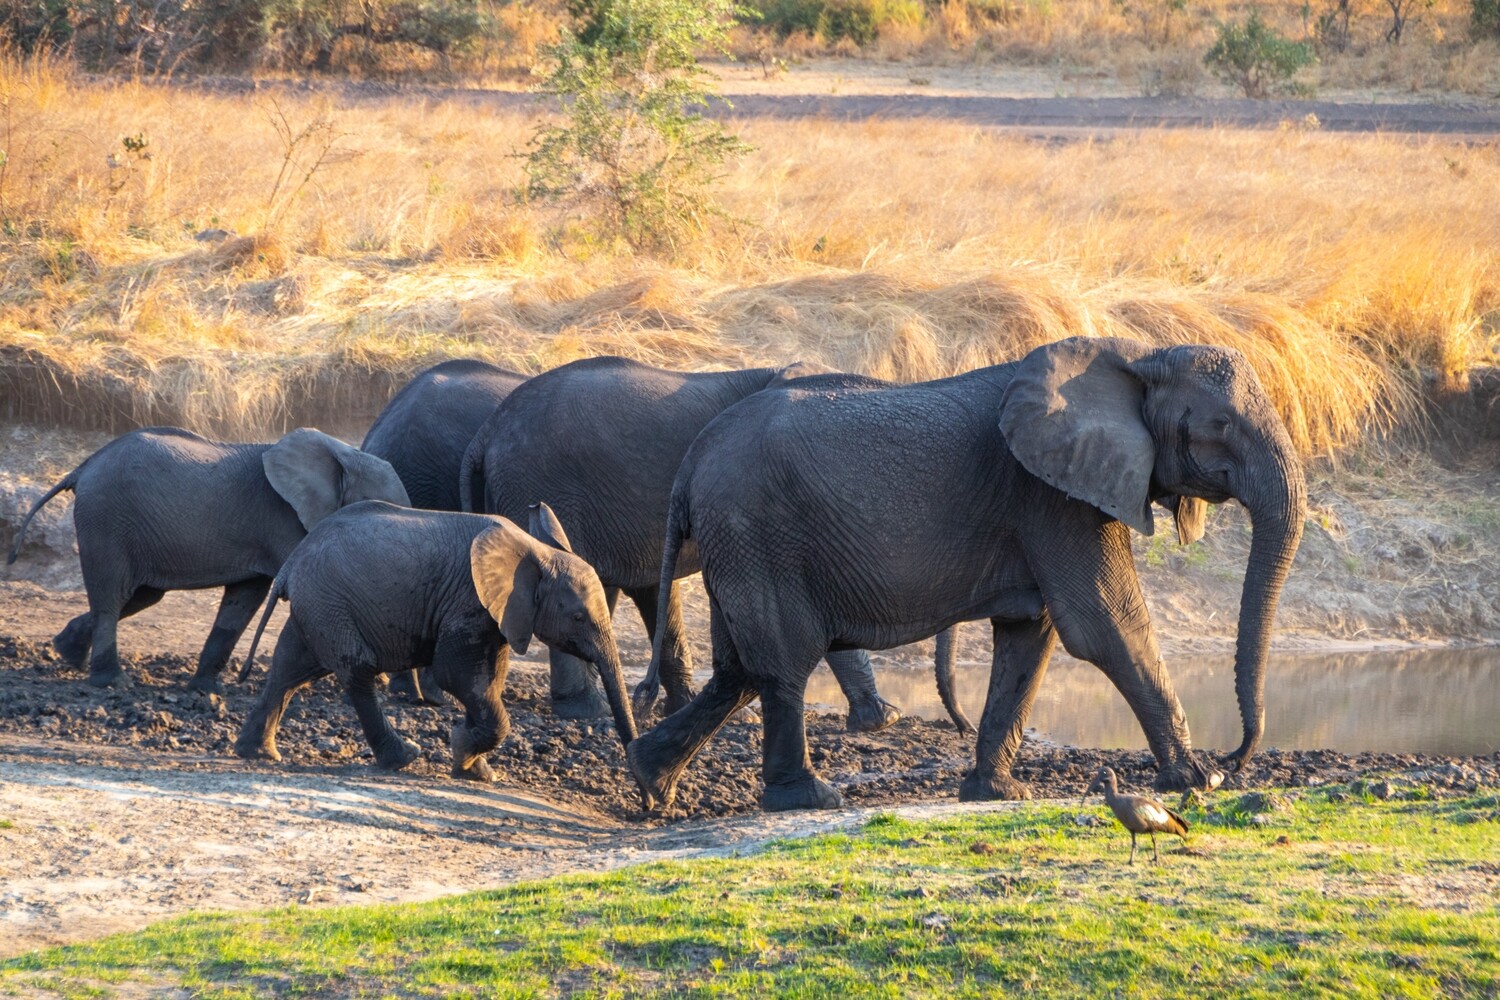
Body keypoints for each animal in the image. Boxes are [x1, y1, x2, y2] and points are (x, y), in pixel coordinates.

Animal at [5, 427, 410, 691]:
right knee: (112, 596)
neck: (344, 453)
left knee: (137, 596)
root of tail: (82, 467)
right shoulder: (285, 520)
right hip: (106, 518)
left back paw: (66, 652)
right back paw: (112, 682)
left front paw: (206, 690)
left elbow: (243, 601)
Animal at [233, 500, 637, 776]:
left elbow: (489, 680)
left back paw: (258, 754)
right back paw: (404, 758)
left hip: (317, 606)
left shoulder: (495, 614)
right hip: (329, 603)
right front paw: (461, 749)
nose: (648, 803)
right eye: (578, 617)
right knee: (356, 670)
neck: (537, 552)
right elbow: (456, 675)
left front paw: (475, 769)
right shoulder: (468, 602)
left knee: (290, 669)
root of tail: (290, 563)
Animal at [626, 336, 1306, 812]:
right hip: (758, 533)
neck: (1137, 355)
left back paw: (650, 782)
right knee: (782, 663)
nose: (1236, 755)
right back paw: (806, 798)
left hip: (738, 542)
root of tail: (691, 462)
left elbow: (1032, 636)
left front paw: (998, 793)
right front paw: (1197, 778)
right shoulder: (1052, 496)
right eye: (1221, 427)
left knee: (739, 670)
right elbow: (1106, 623)